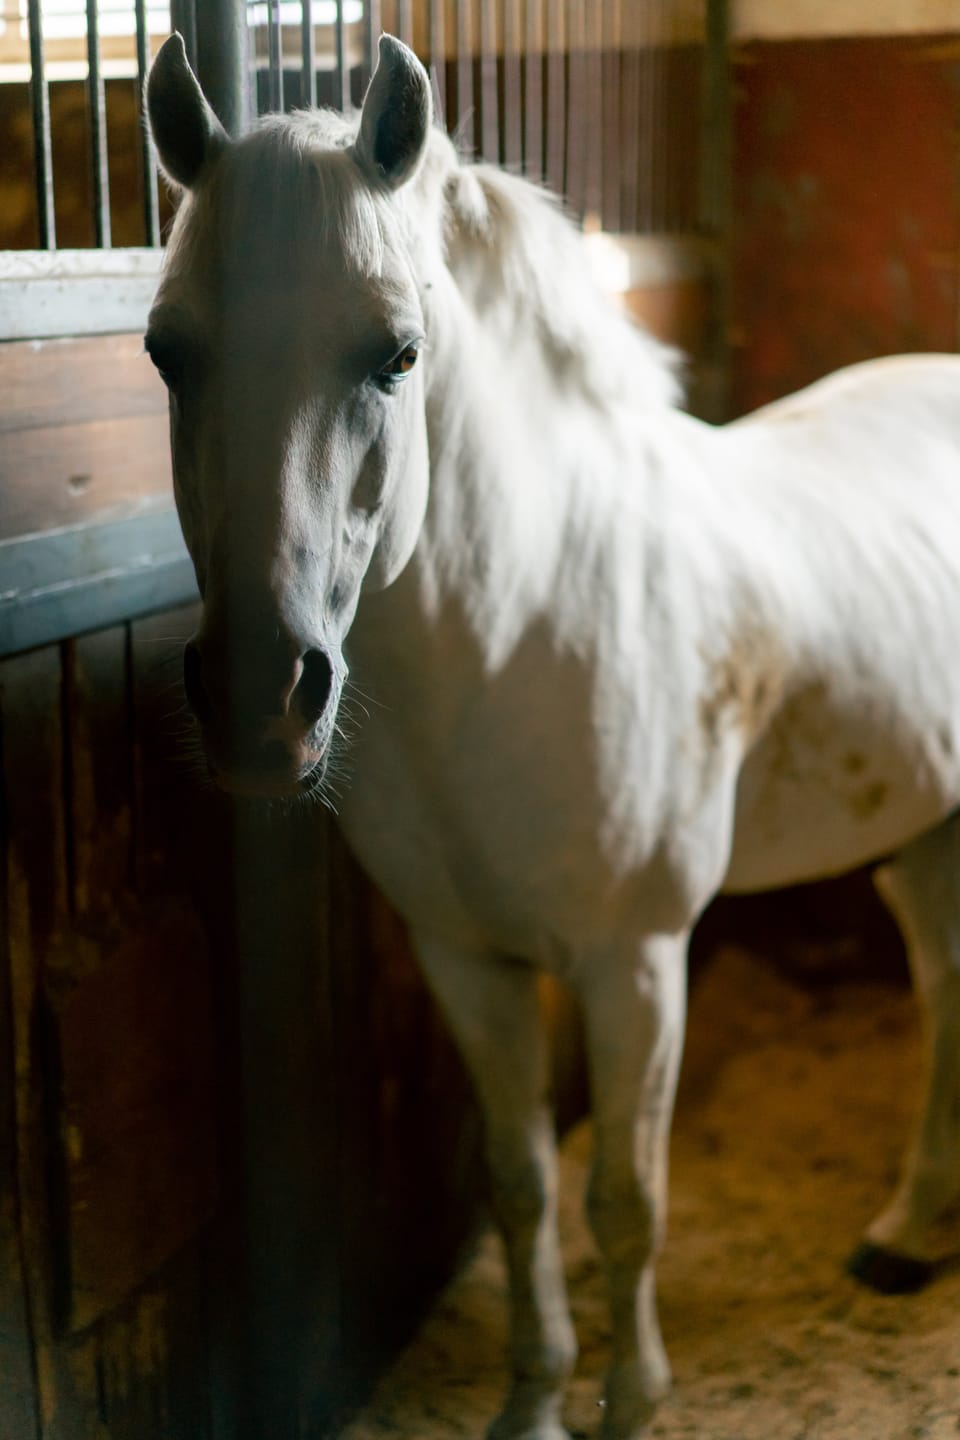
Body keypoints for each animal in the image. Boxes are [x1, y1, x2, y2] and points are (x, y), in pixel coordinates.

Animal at [146, 32, 960, 1440]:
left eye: (396, 354)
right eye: (165, 350)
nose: (261, 701)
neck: (520, 629)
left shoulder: (636, 965)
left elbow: (625, 1203)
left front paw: (633, 1400)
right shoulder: (468, 961)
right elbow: (522, 1185)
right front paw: (532, 1400)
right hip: (920, 833)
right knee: (948, 984)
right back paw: (907, 1235)